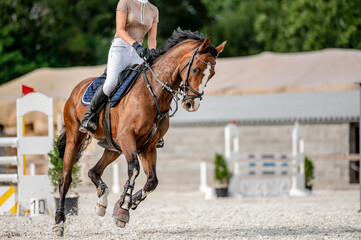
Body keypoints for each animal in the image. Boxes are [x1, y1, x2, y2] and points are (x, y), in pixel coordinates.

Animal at [52, 28, 225, 236]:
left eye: (212, 74)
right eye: (196, 69)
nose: (193, 104)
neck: (155, 93)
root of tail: (77, 89)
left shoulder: (147, 146)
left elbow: (152, 181)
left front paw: (126, 202)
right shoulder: (128, 138)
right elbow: (133, 169)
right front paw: (123, 210)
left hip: (114, 147)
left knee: (94, 171)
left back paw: (102, 201)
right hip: (75, 138)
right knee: (65, 178)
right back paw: (59, 223)